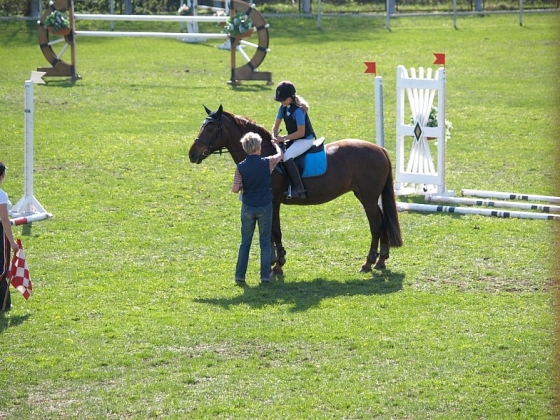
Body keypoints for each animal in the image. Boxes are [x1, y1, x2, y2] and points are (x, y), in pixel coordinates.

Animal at [189, 105, 402, 274]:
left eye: (210, 127)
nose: (192, 154)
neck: (266, 156)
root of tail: (380, 149)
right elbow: (270, 232)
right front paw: (274, 261)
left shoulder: (273, 202)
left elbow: (275, 232)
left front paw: (277, 265)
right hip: (371, 198)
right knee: (382, 222)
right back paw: (381, 261)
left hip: (367, 198)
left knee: (376, 224)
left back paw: (368, 263)